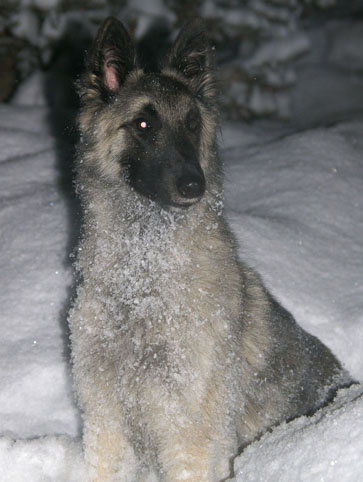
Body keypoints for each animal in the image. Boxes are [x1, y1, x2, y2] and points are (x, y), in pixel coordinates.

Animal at [69, 17, 352, 480]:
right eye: (143, 125)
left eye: (191, 123)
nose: (193, 185)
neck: (143, 274)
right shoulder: (106, 419)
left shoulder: (189, 431)